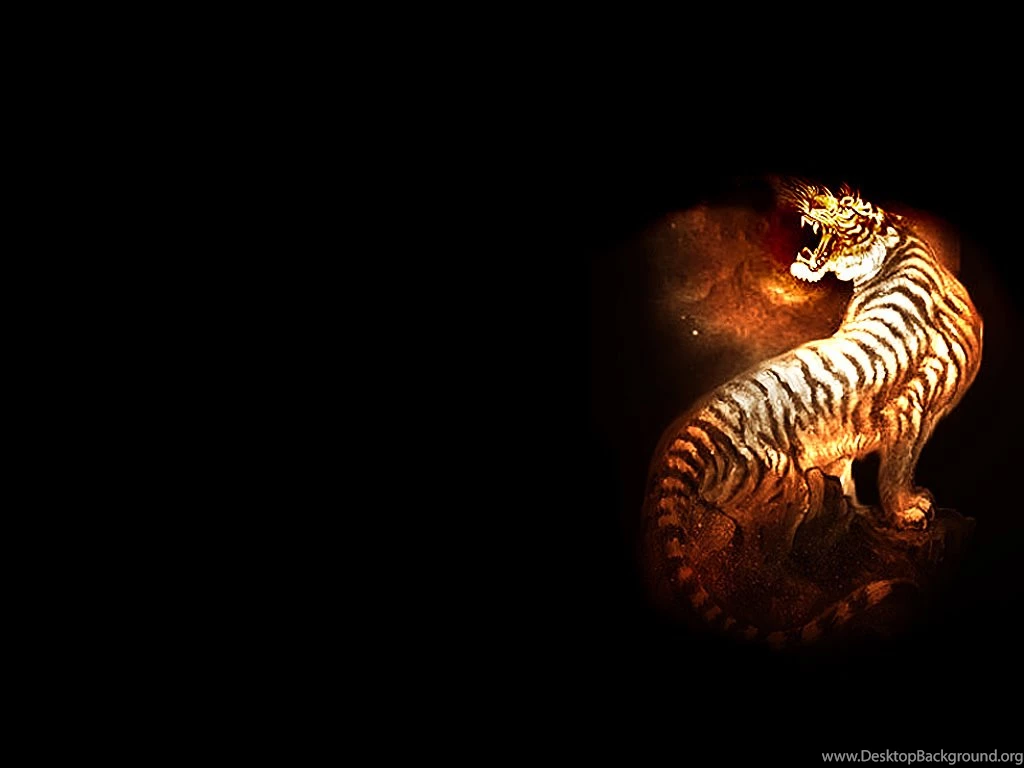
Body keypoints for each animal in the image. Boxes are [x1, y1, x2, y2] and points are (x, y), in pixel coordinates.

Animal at [641, 180, 983, 647]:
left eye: (846, 205)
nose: (814, 196)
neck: (900, 255)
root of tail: (695, 429)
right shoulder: (909, 412)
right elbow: (896, 468)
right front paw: (908, 512)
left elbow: (856, 470)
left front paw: (865, 508)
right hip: (782, 494)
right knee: (760, 565)